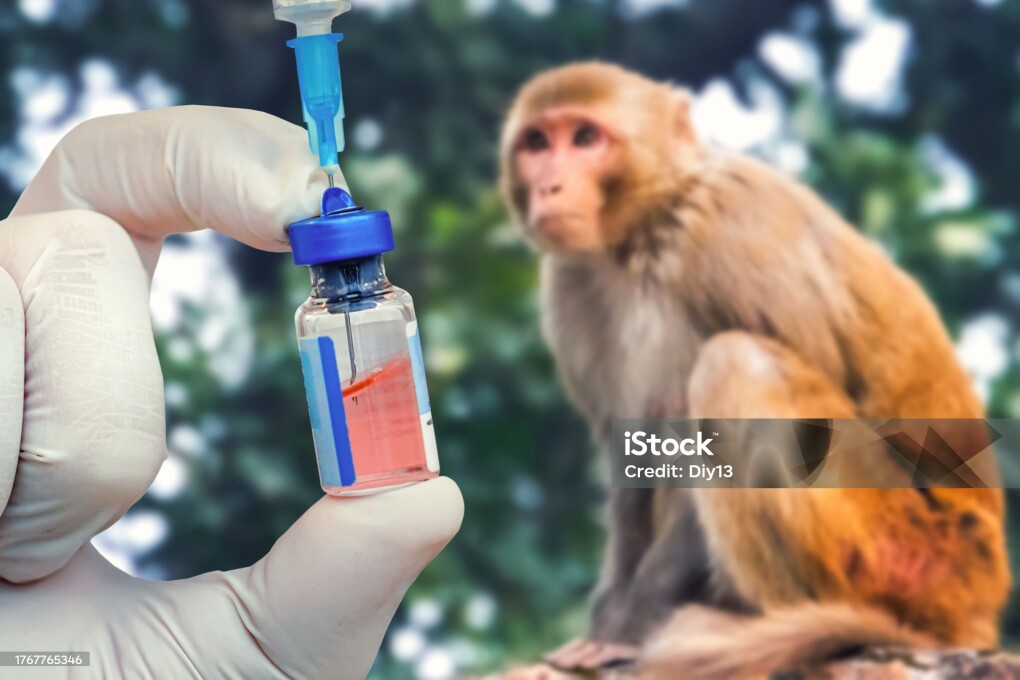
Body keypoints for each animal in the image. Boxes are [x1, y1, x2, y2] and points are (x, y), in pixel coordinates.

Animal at [498, 62, 1009, 679]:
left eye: (585, 138)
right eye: (537, 143)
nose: (548, 186)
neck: (647, 229)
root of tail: (978, 604)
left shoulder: (729, 234)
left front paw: (630, 628)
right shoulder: (569, 286)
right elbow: (630, 455)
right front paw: (607, 620)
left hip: (904, 554)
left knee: (737, 363)